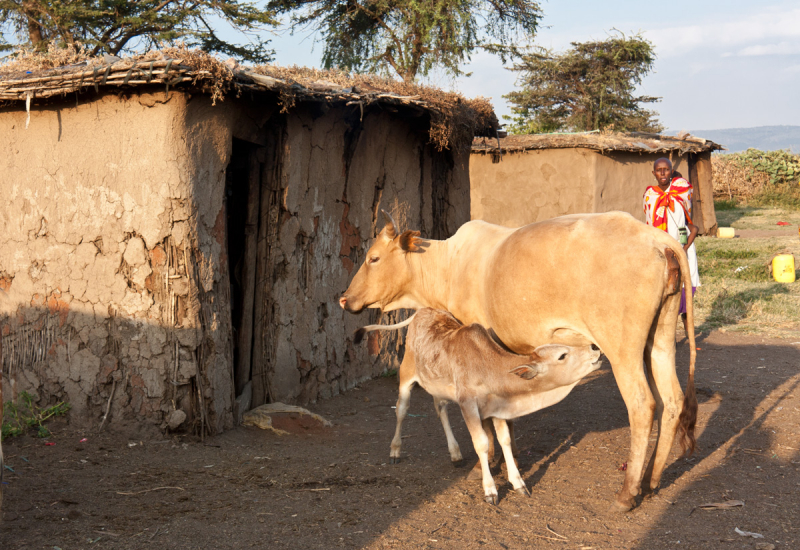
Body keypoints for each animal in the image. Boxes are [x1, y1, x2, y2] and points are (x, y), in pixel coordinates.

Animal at [356, 308, 600, 506]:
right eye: (562, 355)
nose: (595, 348)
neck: (488, 367)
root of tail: (421, 311)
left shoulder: (498, 407)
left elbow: (505, 440)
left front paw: (518, 483)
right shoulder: (468, 405)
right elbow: (482, 443)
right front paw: (490, 490)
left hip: (438, 385)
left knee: (440, 408)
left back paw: (455, 453)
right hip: (406, 375)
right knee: (401, 410)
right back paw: (395, 450)